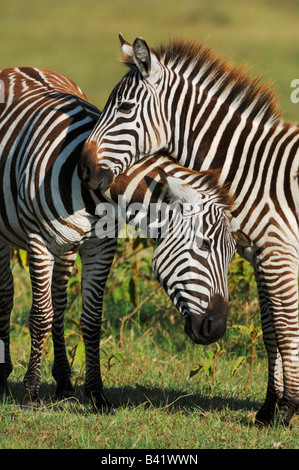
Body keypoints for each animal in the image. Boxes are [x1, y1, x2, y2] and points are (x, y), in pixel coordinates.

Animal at [0, 68, 237, 410]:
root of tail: (24, 69)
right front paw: (31, 392)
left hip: (66, 247)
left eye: (233, 254)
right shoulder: (38, 241)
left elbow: (91, 320)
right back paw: (4, 375)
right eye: (203, 245)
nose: (216, 329)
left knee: (60, 301)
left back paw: (63, 381)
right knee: (7, 295)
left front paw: (95, 393)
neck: (92, 189)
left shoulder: (101, 247)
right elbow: (40, 316)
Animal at [78, 35, 299, 426]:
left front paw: (287, 409)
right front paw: (268, 409)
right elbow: (271, 331)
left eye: (124, 109)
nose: (84, 169)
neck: (257, 172)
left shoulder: (279, 254)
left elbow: (286, 329)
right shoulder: (260, 257)